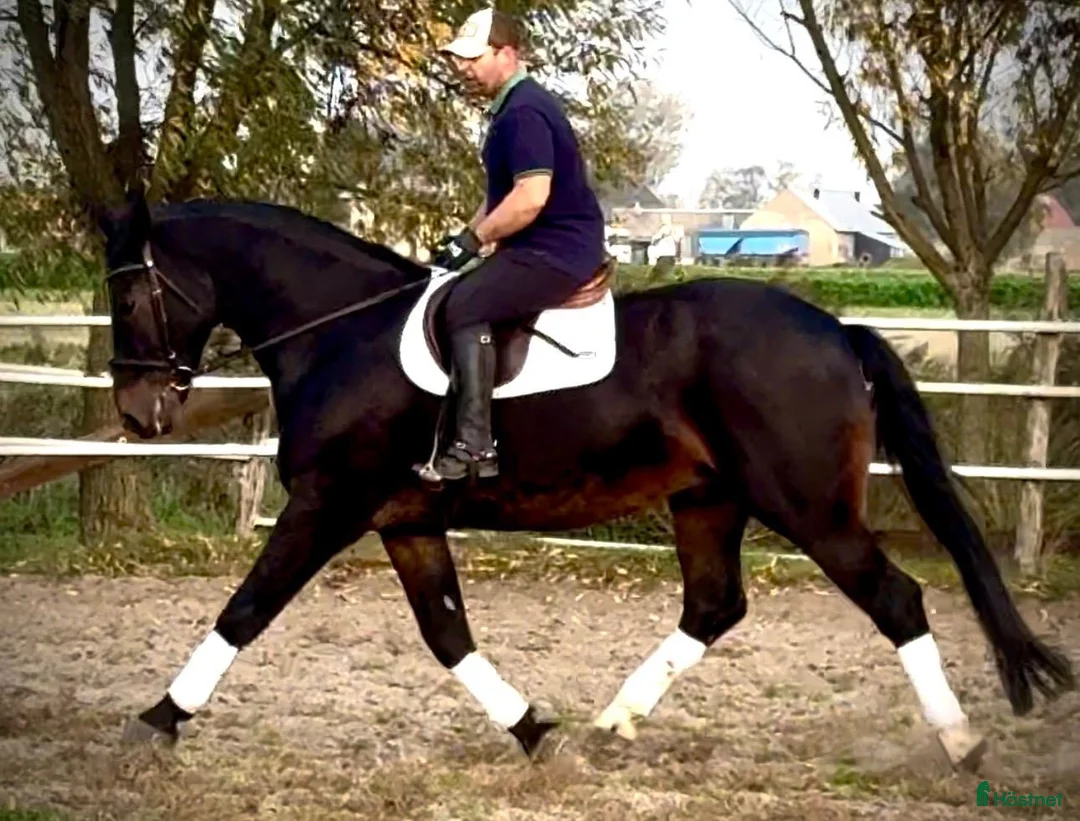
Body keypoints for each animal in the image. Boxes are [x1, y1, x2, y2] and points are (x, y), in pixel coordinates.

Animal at [96, 189, 1073, 768]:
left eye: (133, 293)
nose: (139, 413)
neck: (343, 332)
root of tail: (837, 330)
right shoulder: (405, 519)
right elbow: (447, 636)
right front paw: (534, 730)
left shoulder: (327, 505)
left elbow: (244, 611)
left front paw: (158, 718)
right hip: (707, 498)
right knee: (713, 606)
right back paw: (615, 721)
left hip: (810, 508)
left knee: (896, 598)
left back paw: (960, 742)